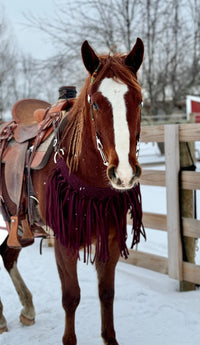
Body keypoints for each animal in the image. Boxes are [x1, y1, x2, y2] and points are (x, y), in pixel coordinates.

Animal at [0, 37, 144, 344]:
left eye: (138, 99)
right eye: (96, 104)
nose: (124, 173)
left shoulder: (109, 238)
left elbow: (106, 293)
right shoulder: (64, 243)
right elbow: (71, 297)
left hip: (19, 225)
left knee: (7, 254)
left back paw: (26, 310)